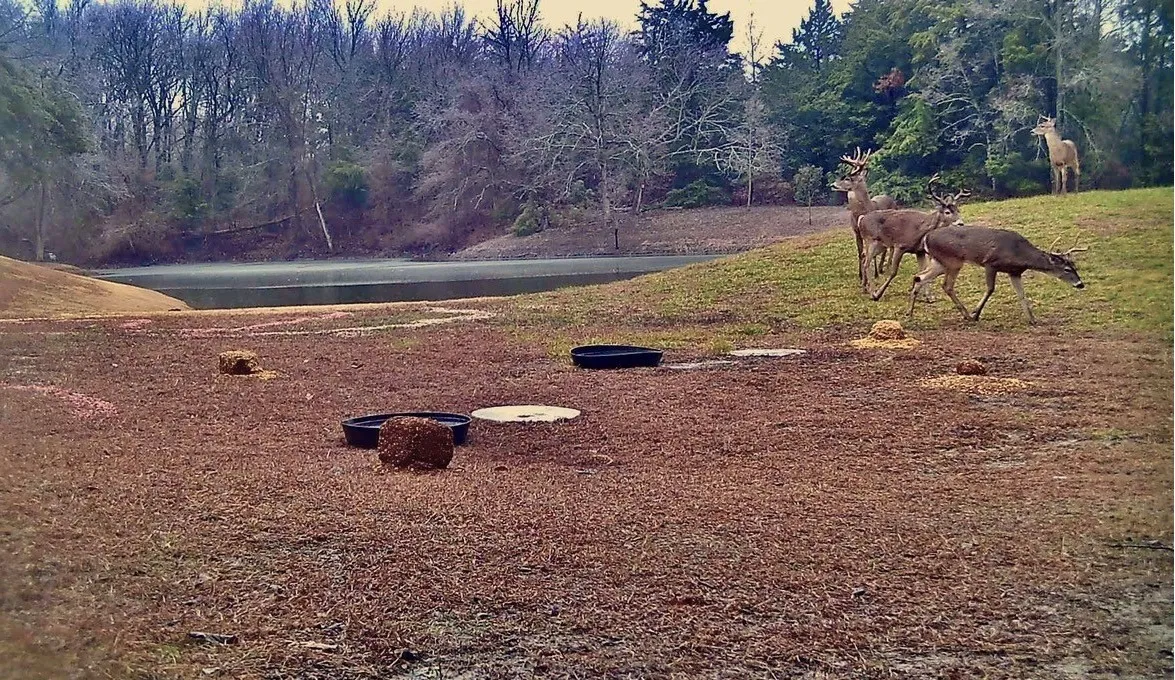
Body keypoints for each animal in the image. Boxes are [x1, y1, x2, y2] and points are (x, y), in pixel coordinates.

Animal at [830, 148, 898, 290]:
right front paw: (861, 276)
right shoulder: (856, 232)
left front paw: (872, 276)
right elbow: (860, 253)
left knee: (890, 248)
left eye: (848, 178)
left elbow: (870, 255)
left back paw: (885, 267)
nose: (832, 184)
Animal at [908, 227, 1087, 324]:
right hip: (952, 260)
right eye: (1067, 269)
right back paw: (967, 315)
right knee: (946, 285)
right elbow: (990, 289)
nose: (1080, 284)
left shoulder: (1015, 272)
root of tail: (926, 237)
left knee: (919, 277)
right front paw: (976, 313)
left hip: (940, 261)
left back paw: (909, 314)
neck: (1019, 254)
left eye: (1075, 266)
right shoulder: (990, 263)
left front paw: (1033, 319)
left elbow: (1021, 295)